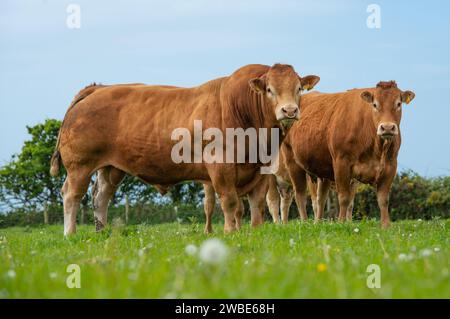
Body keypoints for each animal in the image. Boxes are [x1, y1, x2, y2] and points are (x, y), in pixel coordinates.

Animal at [51, 63, 320, 236]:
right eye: (270, 90)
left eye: (298, 88)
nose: (289, 110)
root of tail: (98, 88)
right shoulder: (220, 167)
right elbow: (230, 202)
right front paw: (230, 231)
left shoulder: (261, 169)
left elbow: (257, 203)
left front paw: (256, 229)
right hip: (80, 166)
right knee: (72, 195)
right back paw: (70, 233)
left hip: (111, 168)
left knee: (101, 196)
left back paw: (101, 230)